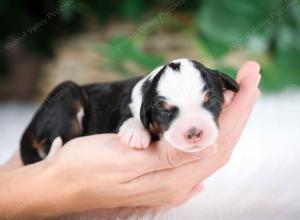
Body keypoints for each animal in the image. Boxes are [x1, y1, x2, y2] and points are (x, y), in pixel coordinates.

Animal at [19, 58, 239, 165]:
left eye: (211, 101)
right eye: (165, 110)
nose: (194, 132)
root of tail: (29, 128)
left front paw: (228, 96)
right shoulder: (125, 110)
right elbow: (130, 119)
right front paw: (136, 135)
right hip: (66, 93)